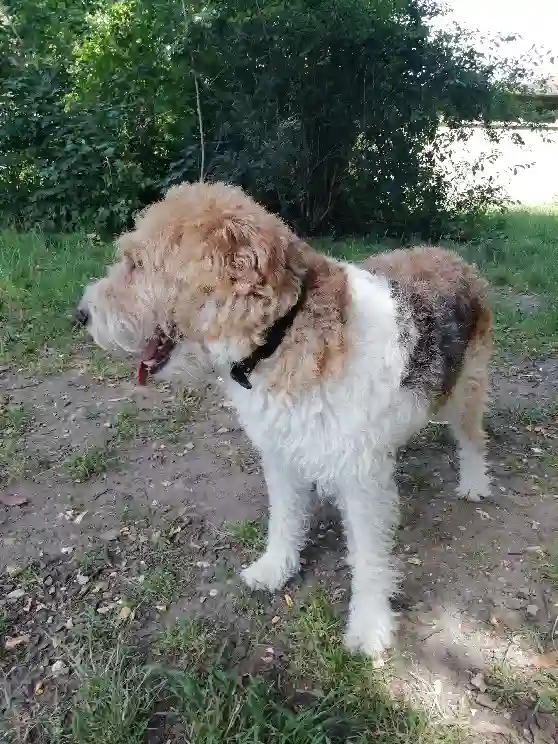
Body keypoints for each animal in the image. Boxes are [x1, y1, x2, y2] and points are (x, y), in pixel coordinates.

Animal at [76, 180, 492, 656]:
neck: (283, 333)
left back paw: (475, 484)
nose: (80, 315)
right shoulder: (281, 455)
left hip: (466, 392)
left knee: (474, 440)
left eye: (136, 263)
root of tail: (455, 258)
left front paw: (369, 627)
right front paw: (274, 569)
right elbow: (285, 520)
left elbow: (369, 558)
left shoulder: (361, 478)